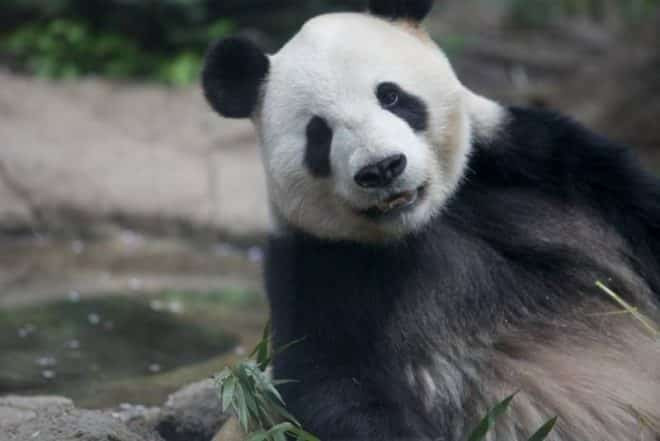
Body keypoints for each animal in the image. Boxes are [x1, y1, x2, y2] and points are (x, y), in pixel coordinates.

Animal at [201, 0, 660, 440]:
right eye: (318, 133)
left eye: (391, 97)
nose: (382, 168)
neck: (424, 221)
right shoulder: (317, 264)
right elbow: (334, 385)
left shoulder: (551, 171)